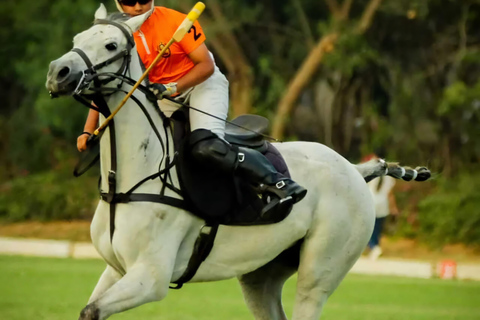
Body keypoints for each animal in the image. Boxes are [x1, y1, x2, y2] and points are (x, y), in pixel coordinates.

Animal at [46, 4, 432, 318]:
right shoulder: (115, 269)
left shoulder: (149, 278)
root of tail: (353, 169)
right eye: (78, 38)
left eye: (111, 46)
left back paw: (286, 190)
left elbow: (92, 310)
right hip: (262, 275)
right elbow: (90, 308)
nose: (57, 72)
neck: (129, 179)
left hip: (321, 272)